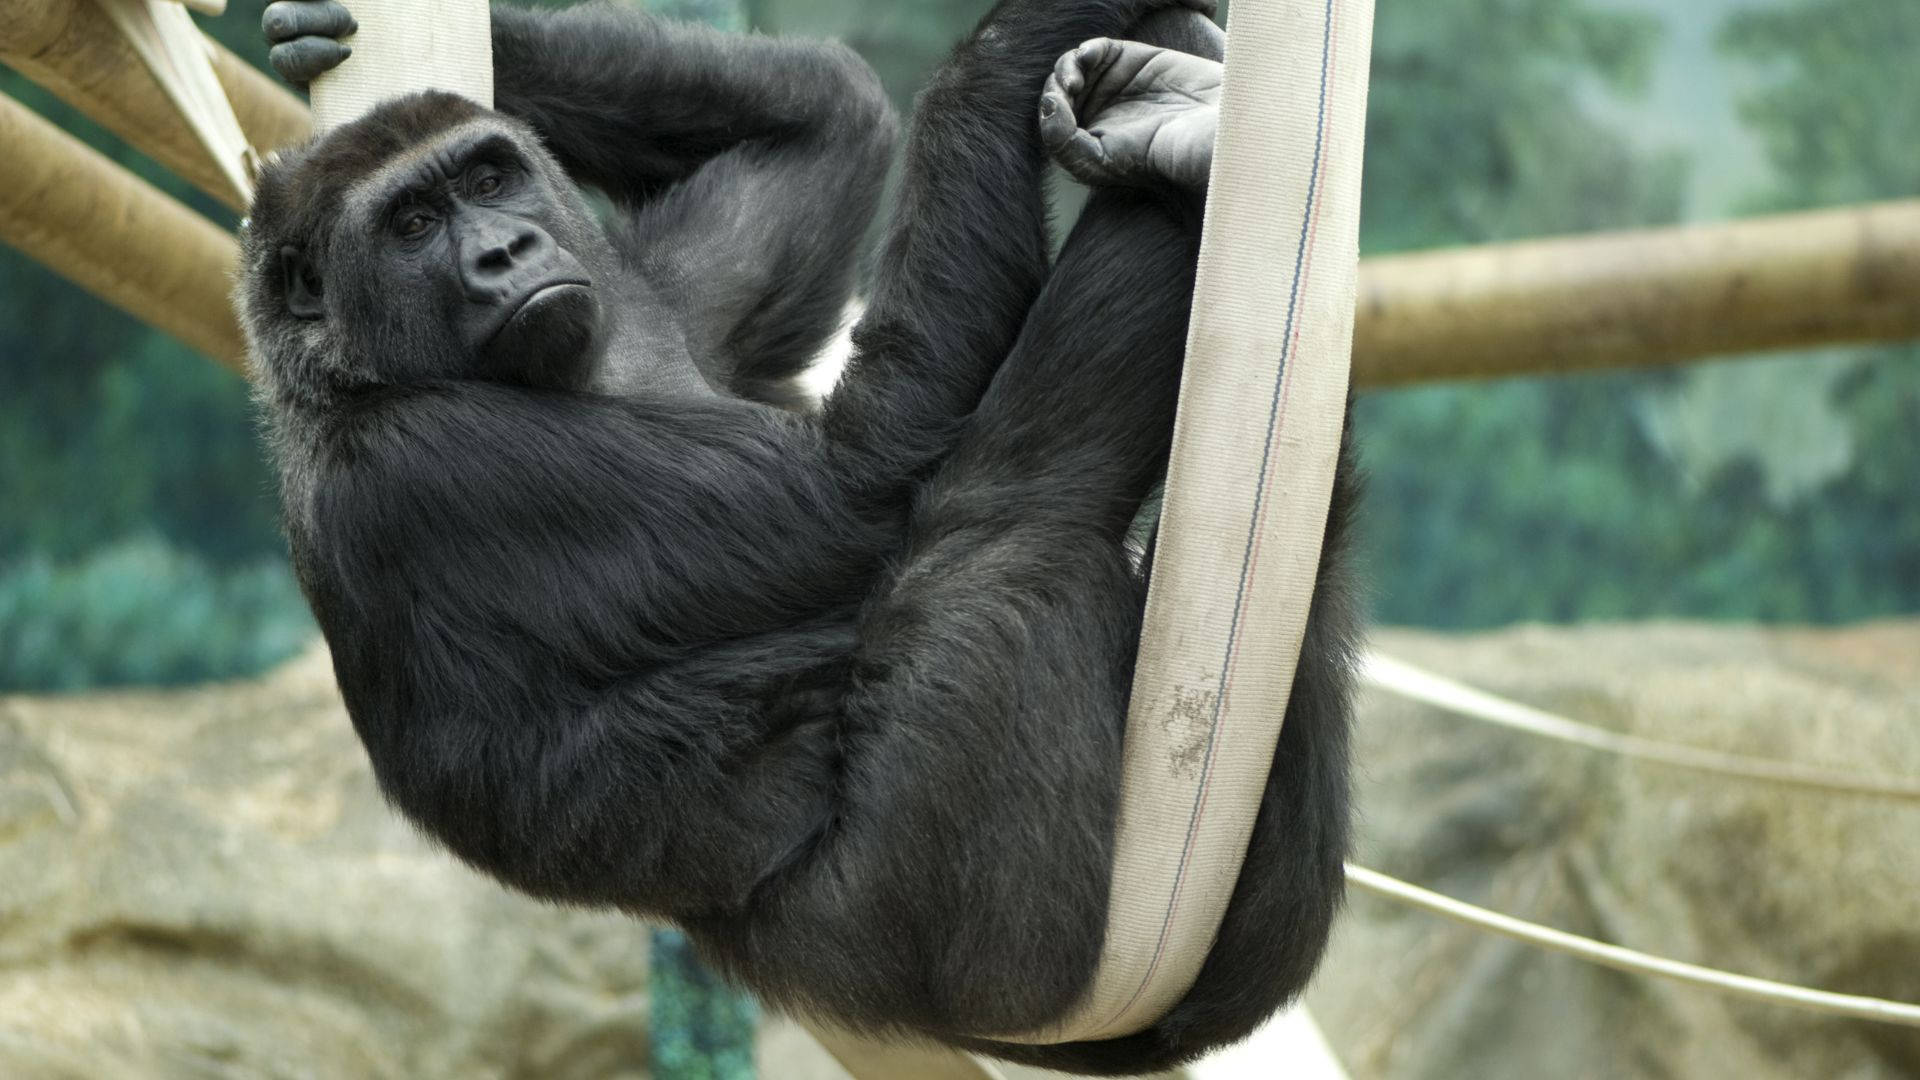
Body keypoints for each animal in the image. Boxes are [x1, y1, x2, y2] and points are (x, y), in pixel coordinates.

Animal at [240, 0, 1359, 1068]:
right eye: (413, 223)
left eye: (489, 177)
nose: (504, 251)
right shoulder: (432, 461)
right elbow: (861, 474)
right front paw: (1012, 51)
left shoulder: (664, 298)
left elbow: (820, 116)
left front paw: (317, 36)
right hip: (959, 958)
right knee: (1006, 530)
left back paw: (1186, 133)